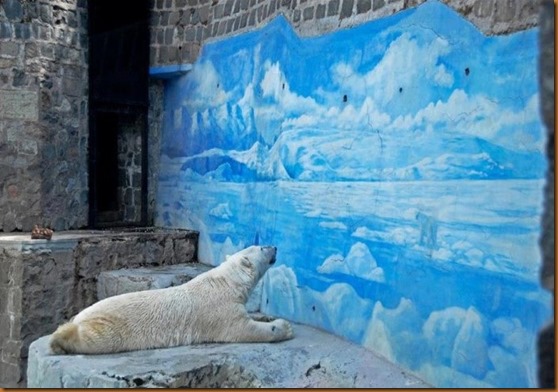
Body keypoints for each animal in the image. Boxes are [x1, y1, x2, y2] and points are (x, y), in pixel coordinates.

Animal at [50, 245, 296, 356]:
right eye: (262, 248)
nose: (275, 246)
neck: (226, 282)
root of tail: (80, 316)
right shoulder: (221, 311)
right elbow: (245, 329)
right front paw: (284, 327)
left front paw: (268, 316)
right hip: (110, 328)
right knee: (94, 338)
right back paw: (60, 339)